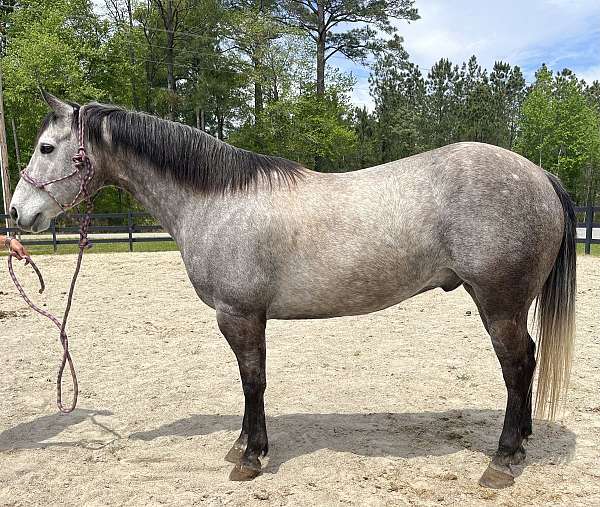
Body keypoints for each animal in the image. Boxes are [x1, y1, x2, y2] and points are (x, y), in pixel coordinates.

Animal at [7, 93, 576, 490]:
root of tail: (538, 174)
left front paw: (251, 457)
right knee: (526, 363)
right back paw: (521, 443)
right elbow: (250, 383)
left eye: (46, 148)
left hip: (498, 302)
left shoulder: (239, 315)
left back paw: (503, 460)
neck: (216, 200)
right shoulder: (245, 317)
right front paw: (243, 446)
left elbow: (252, 382)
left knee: (517, 365)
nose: (17, 213)